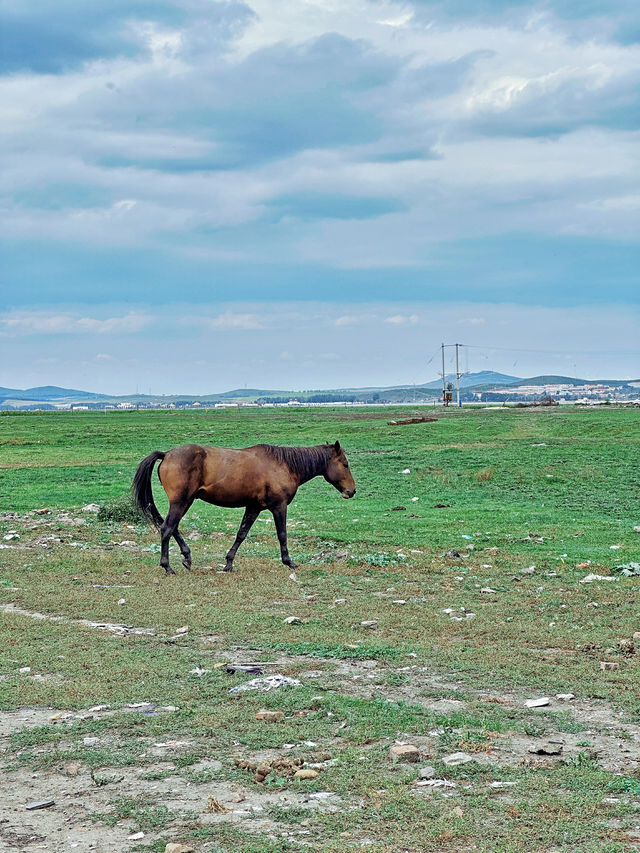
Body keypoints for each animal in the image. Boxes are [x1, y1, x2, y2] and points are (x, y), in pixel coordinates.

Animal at [132, 442, 358, 576]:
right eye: (345, 464)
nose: (352, 491)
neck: (284, 465)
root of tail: (166, 455)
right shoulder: (279, 506)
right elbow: (282, 534)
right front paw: (288, 561)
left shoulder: (254, 507)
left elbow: (241, 534)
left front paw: (229, 563)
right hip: (181, 501)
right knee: (167, 528)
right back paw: (167, 566)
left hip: (184, 501)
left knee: (172, 527)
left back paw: (187, 557)